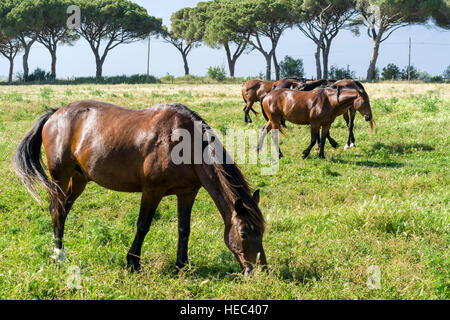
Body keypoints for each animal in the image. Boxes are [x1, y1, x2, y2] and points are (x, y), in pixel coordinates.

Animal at [14, 100, 268, 276]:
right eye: (244, 233)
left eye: (262, 231)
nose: (261, 270)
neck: (185, 142)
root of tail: (55, 113)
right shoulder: (152, 191)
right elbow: (143, 225)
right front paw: (133, 262)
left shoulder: (187, 193)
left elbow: (184, 229)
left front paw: (182, 265)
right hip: (60, 177)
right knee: (56, 210)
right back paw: (59, 256)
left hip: (78, 179)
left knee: (64, 210)